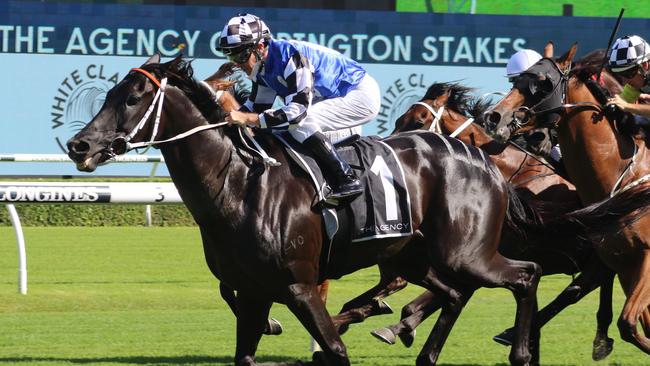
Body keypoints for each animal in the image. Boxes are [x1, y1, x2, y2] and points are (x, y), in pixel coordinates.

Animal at [67, 54, 548, 366]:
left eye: (133, 98)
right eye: (110, 93)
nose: (79, 145)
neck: (241, 185)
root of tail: (484, 160)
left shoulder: (300, 286)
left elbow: (334, 349)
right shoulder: (252, 290)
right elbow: (244, 351)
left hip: (465, 253)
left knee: (525, 274)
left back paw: (521, 352)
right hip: (415, 257)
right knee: (455, 293)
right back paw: (424, 350)